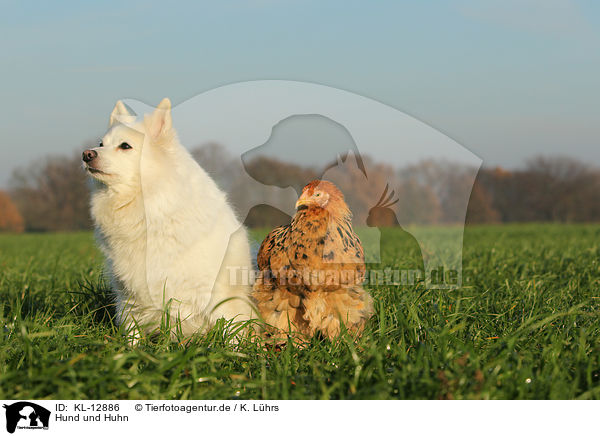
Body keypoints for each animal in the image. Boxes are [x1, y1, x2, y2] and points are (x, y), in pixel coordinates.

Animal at [83, 99, 254, 340]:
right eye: (101, 143)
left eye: (125, 146)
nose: (86, 154)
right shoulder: (128, 297)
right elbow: (132, 335)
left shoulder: (220, 295)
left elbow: (233, 335)